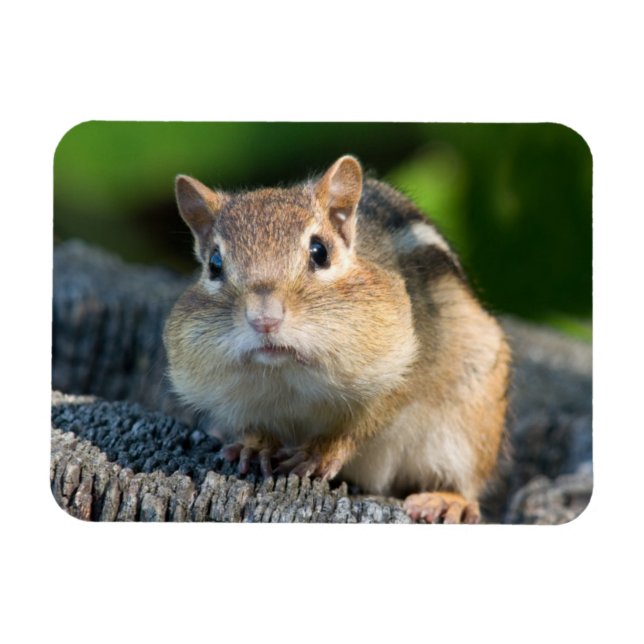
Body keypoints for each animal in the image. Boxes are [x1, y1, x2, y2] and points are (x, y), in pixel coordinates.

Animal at [163, 155, 510, 523]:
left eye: (320, 252)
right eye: (214, 264)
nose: (264, 319)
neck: (286, 374)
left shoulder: (406, 370)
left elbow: (363, 422)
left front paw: (319, 453)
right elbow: (252, 424)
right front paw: (254, 446)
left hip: (471, 425)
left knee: (466, 485)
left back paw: (447, 501)